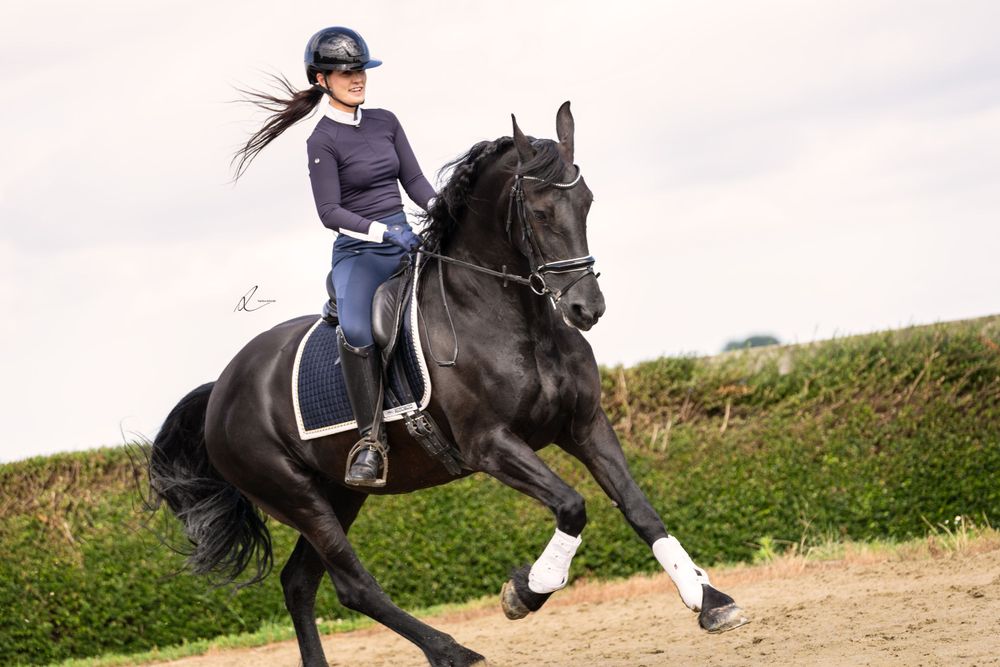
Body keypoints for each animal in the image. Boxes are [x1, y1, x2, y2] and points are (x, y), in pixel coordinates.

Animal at [147, 101, 748, 667]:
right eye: (539, 211)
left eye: (587, 202)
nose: (587, 308)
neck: (516, 318)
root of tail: (222, 389)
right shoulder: (491, 445)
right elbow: (572, 506)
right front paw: (526, 592)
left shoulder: (584, 426)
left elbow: (639, 508)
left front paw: (710, 601)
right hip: (295, 495)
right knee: (352, 584)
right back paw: (452, 650)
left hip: (338, 492)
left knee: (300, 584)